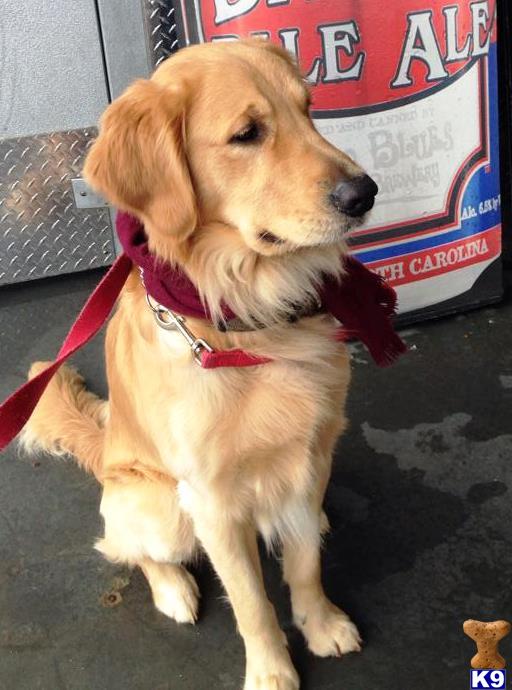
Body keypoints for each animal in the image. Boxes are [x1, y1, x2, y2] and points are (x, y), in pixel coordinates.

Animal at [22, 40, 378, 684]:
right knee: (129, 549)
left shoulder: (309, 451)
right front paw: (270, 670)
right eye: (247, 133)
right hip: (161, 507)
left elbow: (305, 563)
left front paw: (321, 624)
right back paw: (173, 590)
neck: (252, 312)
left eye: (308, 110)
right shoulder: (212, 500)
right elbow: (251, 601)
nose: (364, 194)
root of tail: (105, 450)